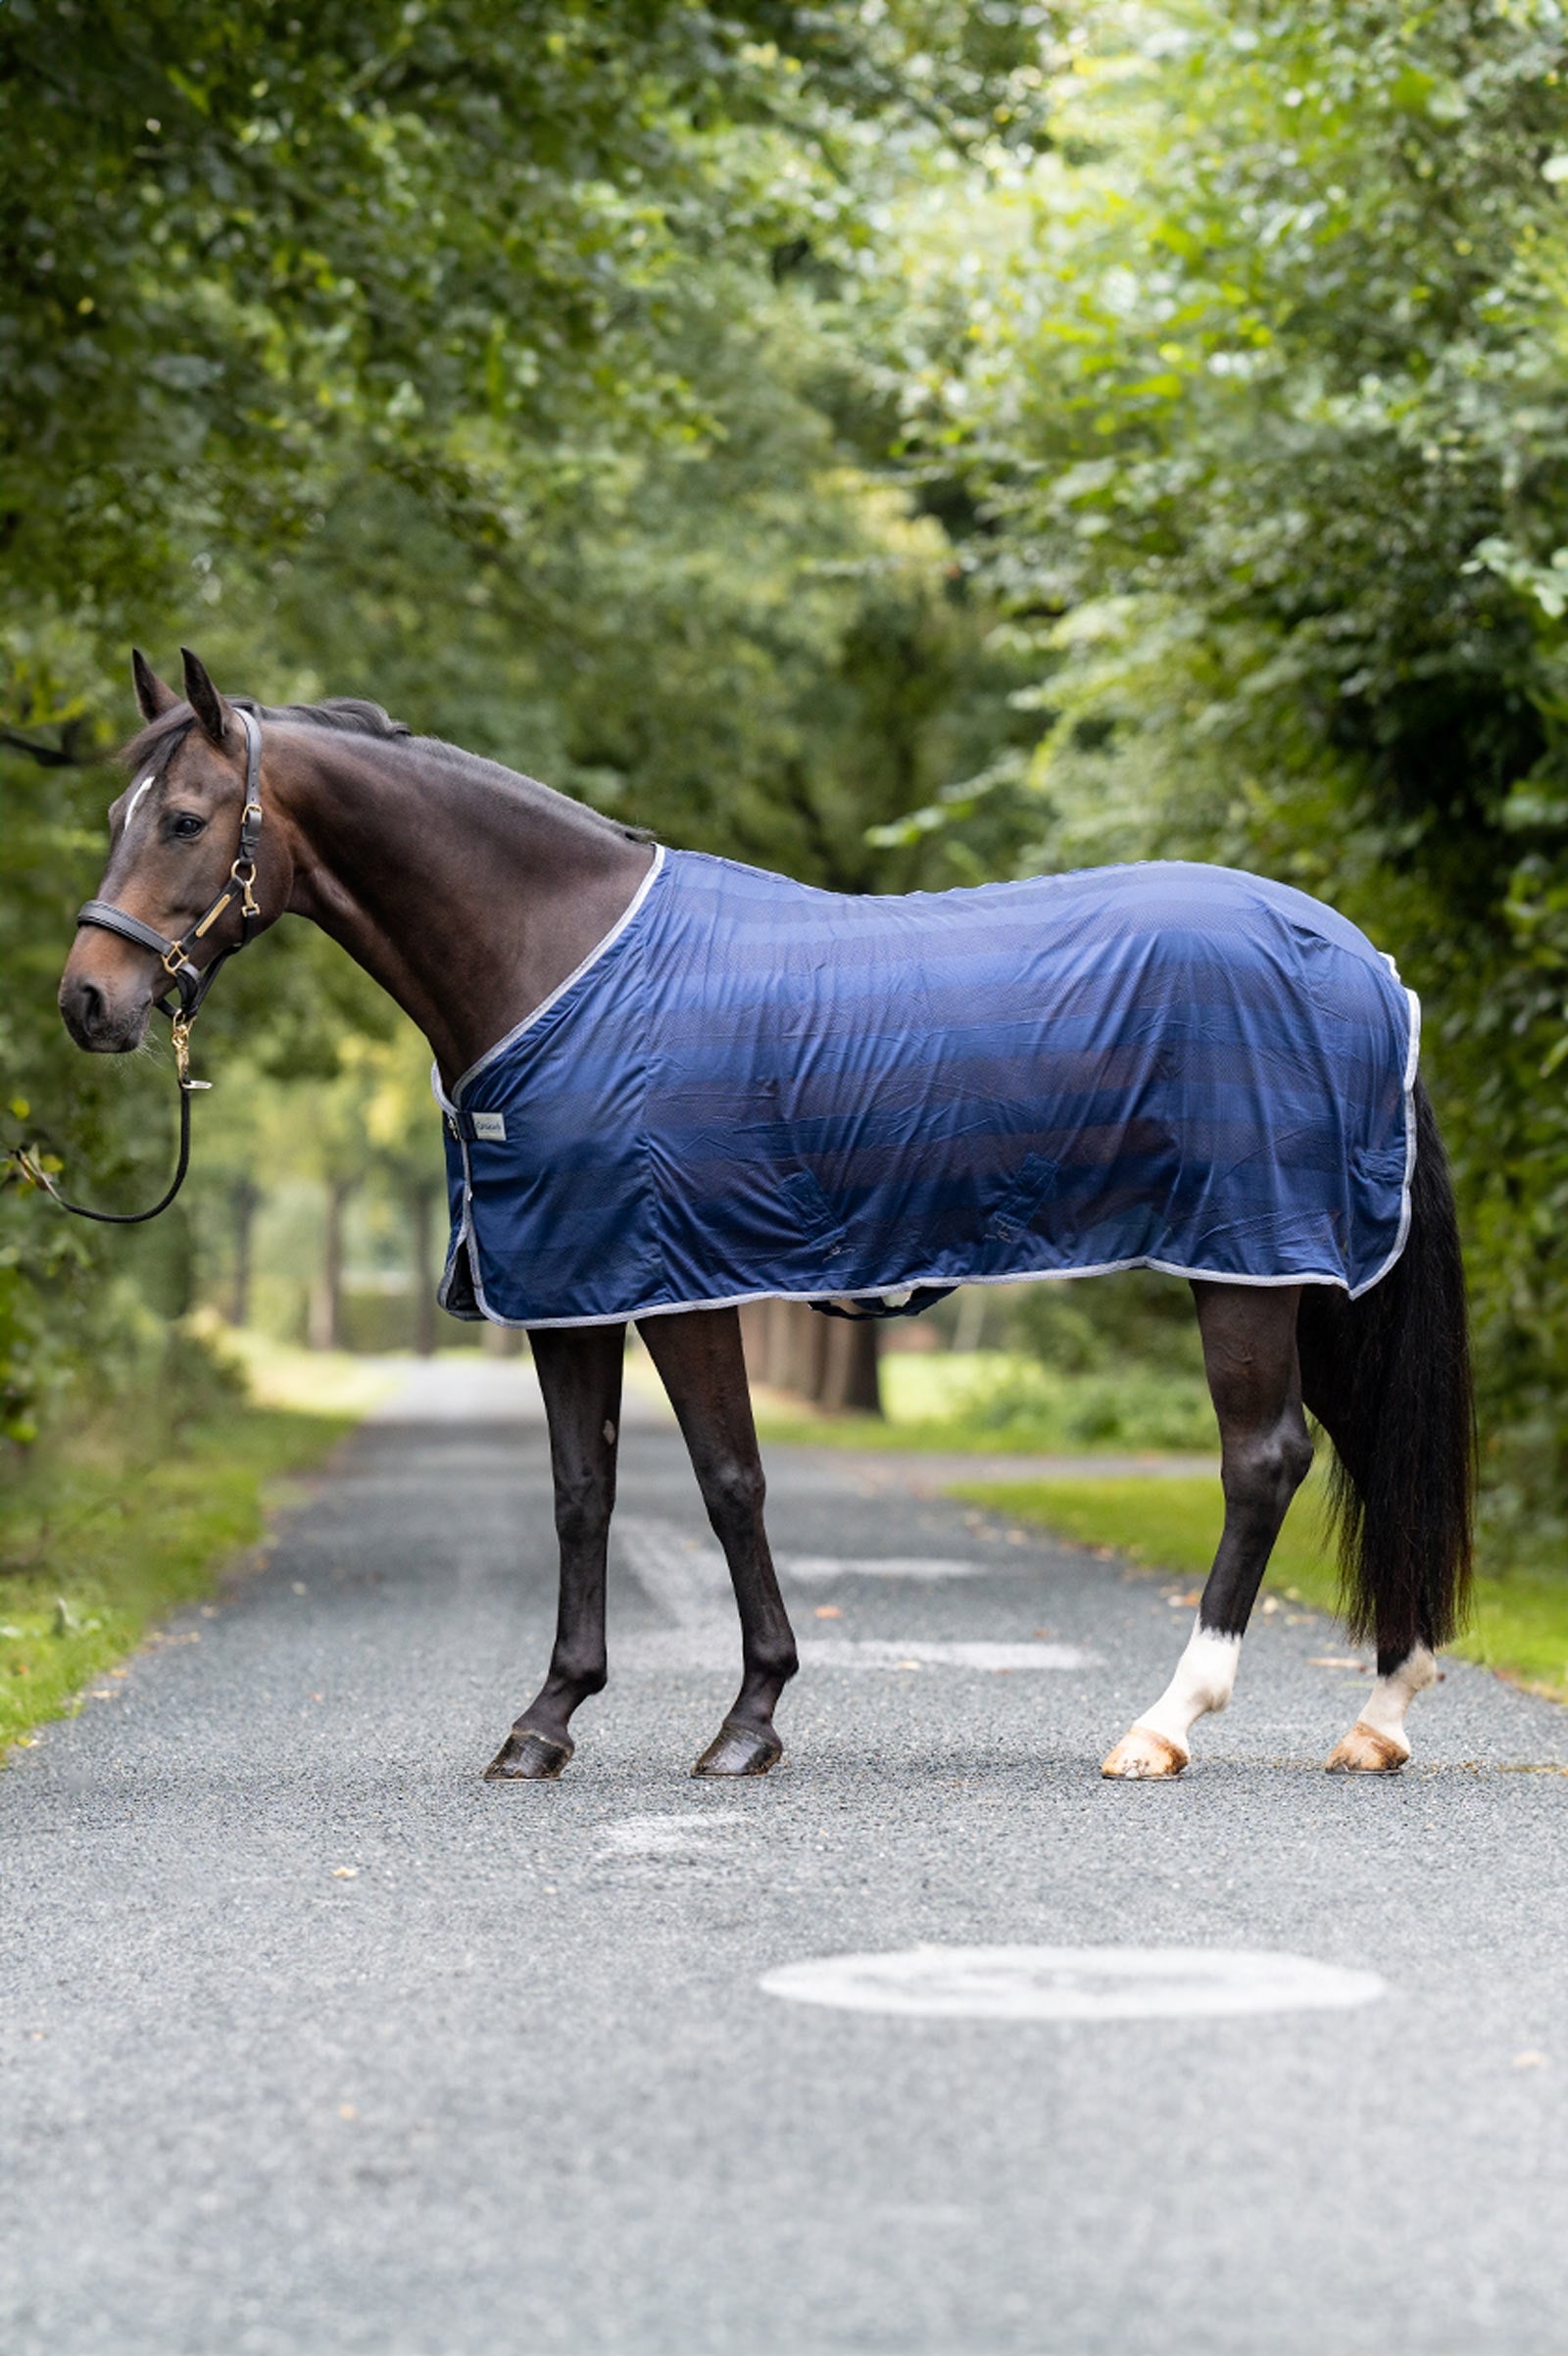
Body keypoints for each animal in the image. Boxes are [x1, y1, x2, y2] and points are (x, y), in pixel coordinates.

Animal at [56, 648, 1475, 1783]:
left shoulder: (679, 1281)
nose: (88, 1000)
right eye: (118, 813)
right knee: (1359, 1444)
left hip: (1246, 1263)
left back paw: (1167, 1722)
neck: (556, 959)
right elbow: (582, 1493)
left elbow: (729, 1482)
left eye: (183, 818)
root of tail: (1363, 962)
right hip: (1315, 1273)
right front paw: (546, 1722)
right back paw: (1380, 1712)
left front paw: (748, 1721)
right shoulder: (570, 1289)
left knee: (1263, 1461)